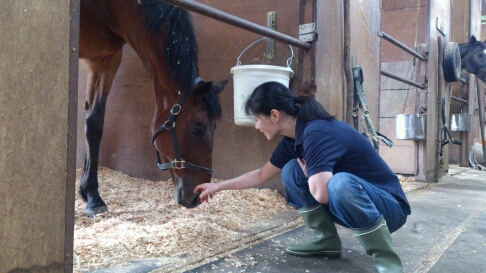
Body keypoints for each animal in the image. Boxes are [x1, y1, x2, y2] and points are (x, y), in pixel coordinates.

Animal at [79, 0, 227, 217]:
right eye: (197, 128)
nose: (197, 196)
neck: (109, 9)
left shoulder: (104, 58)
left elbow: (94, 124)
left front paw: (90, 195)